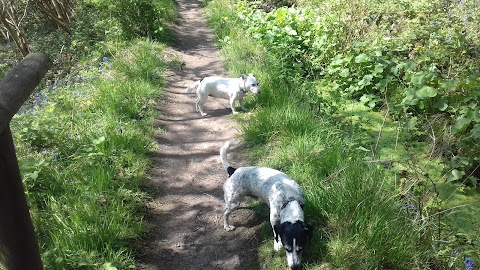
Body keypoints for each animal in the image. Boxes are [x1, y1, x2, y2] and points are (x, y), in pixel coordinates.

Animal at [220, 140, 314, 268]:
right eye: (287, 248)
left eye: (301, 248)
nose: (294, 267)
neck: (288, 200)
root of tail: (233, 170)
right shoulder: (274, 219)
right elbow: (275, 232)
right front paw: (277, 244)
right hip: (234, 202)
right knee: (225, 212)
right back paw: (227, 226)